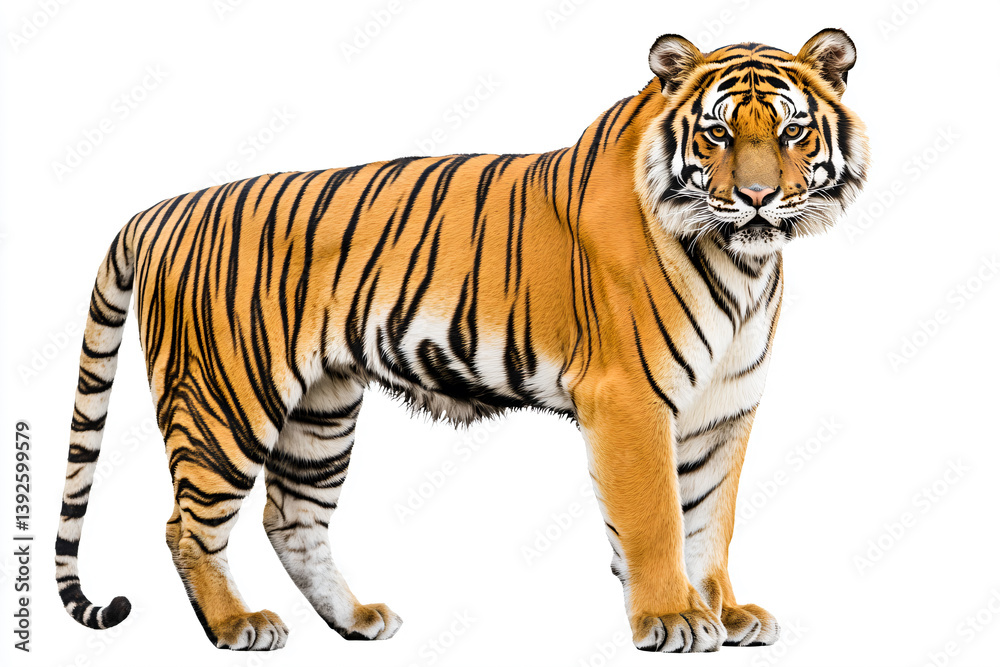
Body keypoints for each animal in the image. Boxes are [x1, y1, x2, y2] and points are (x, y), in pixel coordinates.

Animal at [56, 29, 868, 653]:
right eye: (718, 132)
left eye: (792, 131)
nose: (759, 198)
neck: (744, 262)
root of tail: (162, 208)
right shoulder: (630, 399)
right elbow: (657, 519)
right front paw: (671, 617)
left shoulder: (723, 409)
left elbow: (709, 520)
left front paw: (724, 612)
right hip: (227, 397)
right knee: (187, 524)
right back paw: (235, 626)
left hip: (322, 411)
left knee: (291, 518)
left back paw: (355, 620)